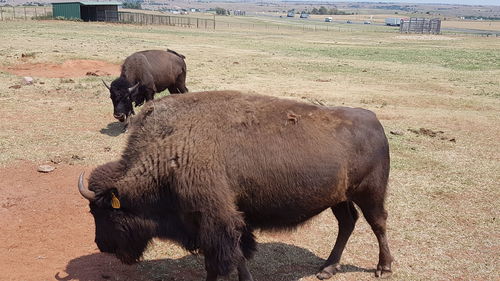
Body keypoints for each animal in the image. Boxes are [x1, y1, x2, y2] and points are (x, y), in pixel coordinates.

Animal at [78, 91, 392, 278]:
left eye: (105, 212)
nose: (102, 245)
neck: (170, 148)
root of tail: (374, 120)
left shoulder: (218, 222)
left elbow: (224, 260)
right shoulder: (222, 223)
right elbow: (234, 257)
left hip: (371, 193)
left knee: (378, 224)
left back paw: (383, 268)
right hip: (340, 197)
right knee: (347, 222)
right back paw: (327, 268)